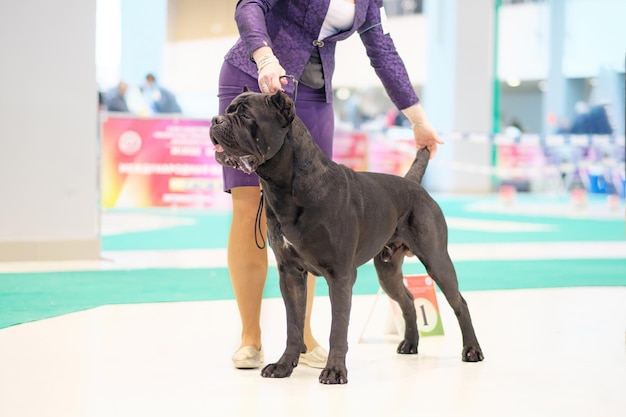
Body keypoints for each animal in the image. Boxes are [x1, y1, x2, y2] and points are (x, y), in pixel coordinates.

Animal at [210, 88, 482, 384]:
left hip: (436, 260)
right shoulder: (290, 274)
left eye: (247, 115)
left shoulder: (340, 275)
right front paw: (283, 366)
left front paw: (334, 371)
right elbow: (293, 325)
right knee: (407, 300)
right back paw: (410, 344)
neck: (285, 187)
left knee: (459, 302)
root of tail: (412, 183)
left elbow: (338, 327)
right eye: (229, 109)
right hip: (387, 271)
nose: (215, 120)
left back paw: (472, 350)